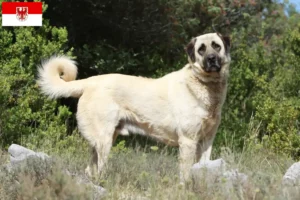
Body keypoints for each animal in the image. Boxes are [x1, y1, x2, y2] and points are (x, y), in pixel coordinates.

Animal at [37, 32, 230, 183]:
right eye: (201, 49)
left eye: (216, 46)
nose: (212, 59)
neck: (205, 85)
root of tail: (90, 81)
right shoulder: (188, 141)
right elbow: (186, 172)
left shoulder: (206, 141)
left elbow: (202, 167)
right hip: (104, 139)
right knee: (99, 167)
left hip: (103, 139)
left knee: (90, 168)